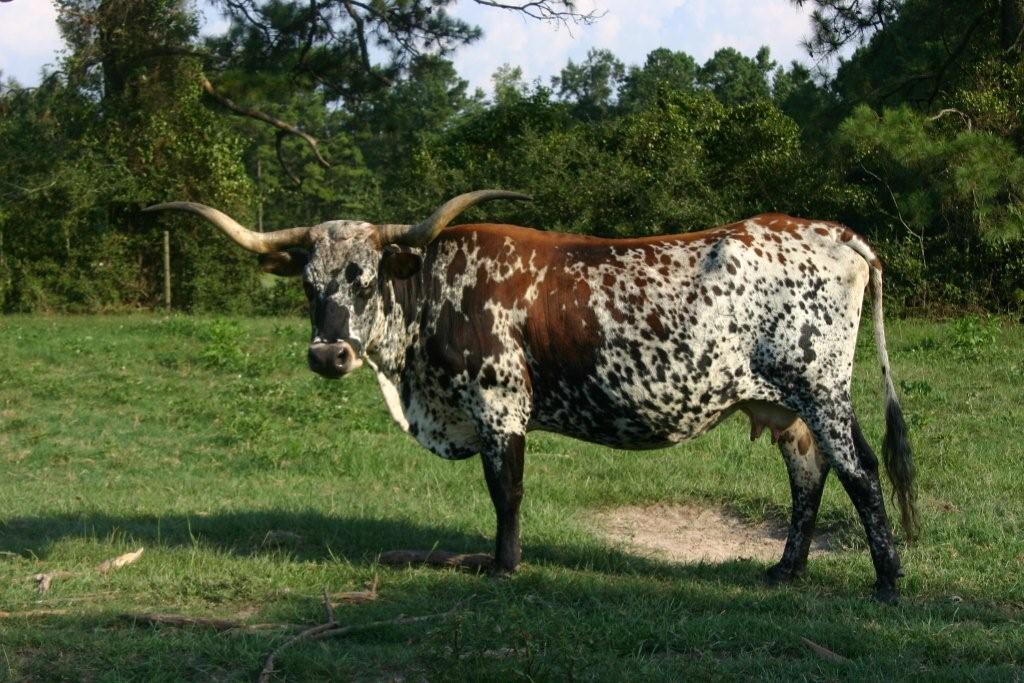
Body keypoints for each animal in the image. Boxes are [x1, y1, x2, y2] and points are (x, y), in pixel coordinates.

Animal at [145, 190, 918, 602]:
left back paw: (886, 580)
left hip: (820, 387)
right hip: (785, 405)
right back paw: (784, 570)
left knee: (860, 472)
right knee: (808, 475)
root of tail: (837, 233)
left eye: (364, 277)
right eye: (309, 283)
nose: (329, 354)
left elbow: (506, 490)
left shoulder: (498, 406)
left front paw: (503, 565)